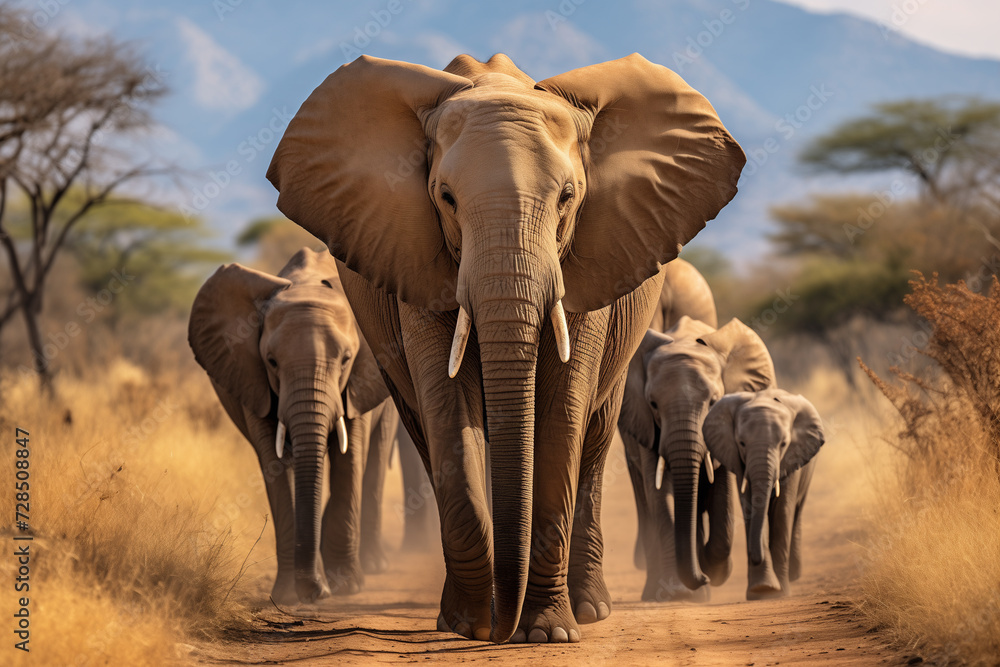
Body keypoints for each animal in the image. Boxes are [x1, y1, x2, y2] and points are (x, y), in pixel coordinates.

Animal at [188, 247, 397, 605]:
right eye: (272, 361)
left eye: (345, 359)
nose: (315, 592)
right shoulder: (252, 377)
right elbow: (275, 466)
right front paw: (289, 595)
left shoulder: (360, 377)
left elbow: (350, 457)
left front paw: (345, 587)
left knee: (376, 456)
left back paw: (372, 566)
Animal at [266, 52, 745, 643]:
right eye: (446, 198)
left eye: (567, 197)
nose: (500, 629)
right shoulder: (415, 256)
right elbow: (449, 410)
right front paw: (467, 625)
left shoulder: (587, 259)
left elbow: (563, 412)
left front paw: (548, 632)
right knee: (426, 431)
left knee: (595, 437)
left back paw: (590, 609)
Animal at [618, 316, 775, 602]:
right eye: (653, 404)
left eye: (713, 402)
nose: (702, 577)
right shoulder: (645, 423)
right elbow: (660, 494)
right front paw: (680, 591)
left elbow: (721, 493)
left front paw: (714, 571)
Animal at [703, 388, 825, 599]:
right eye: (742, 443)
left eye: (783, 444)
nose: (755, 556)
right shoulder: (739, 460)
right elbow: (751, 506)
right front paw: (761, 589)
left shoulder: (792, 457)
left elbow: (783, 510)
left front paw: (779, 592)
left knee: (797, 511)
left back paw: (793, 575)